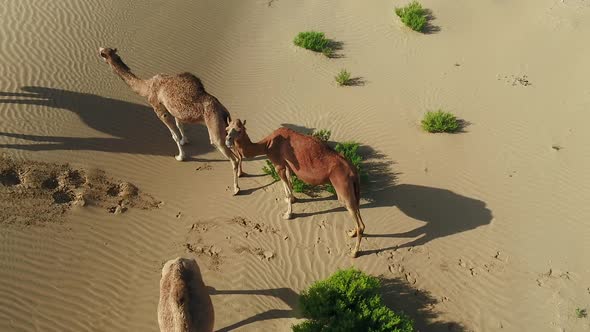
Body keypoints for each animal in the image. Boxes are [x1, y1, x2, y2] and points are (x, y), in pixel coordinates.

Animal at [99, 45, 243, 193]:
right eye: (105, 51)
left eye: (102, 53)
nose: (99, 49)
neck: (146, 87)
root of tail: (223, 111)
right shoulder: (173, 110)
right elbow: (180, 126)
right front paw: (184, 141)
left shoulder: (159, 109)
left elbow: (173, 135)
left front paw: (180, 157)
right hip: (226, 127)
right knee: (236, 151)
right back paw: (240, 174)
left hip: (214, 127)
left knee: (232, 157)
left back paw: (236, 189)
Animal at [225, 118, 368, 256]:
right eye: (227, 129)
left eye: (239, 130)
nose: (227, 140)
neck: (267, 145)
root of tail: (353, 171)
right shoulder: (287, 165)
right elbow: (289, 184)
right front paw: (293, 200)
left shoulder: (278, 164)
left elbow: (287, 188)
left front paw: (288, 214)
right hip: (353, 188)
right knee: (357, 210)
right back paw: (352, 232)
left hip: (342, 185)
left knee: (355, 216)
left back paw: (354, 252)